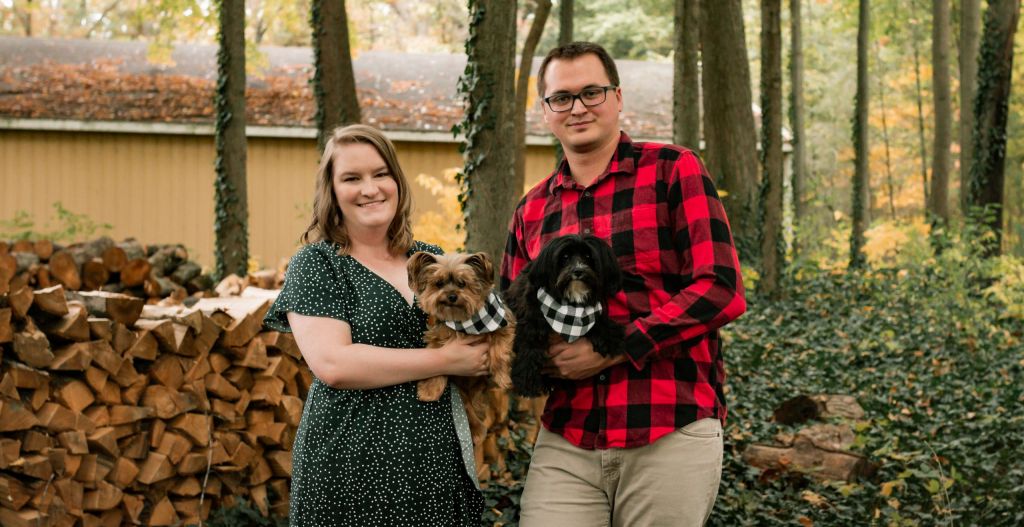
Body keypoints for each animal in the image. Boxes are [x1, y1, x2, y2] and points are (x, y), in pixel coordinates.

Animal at [503, 234, 622, 397]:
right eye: (565, 257)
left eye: (588, 256)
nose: (578, 271)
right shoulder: (531, 323)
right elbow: (530, 347)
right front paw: (527, 379)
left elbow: (597, 320)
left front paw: (608, 335)